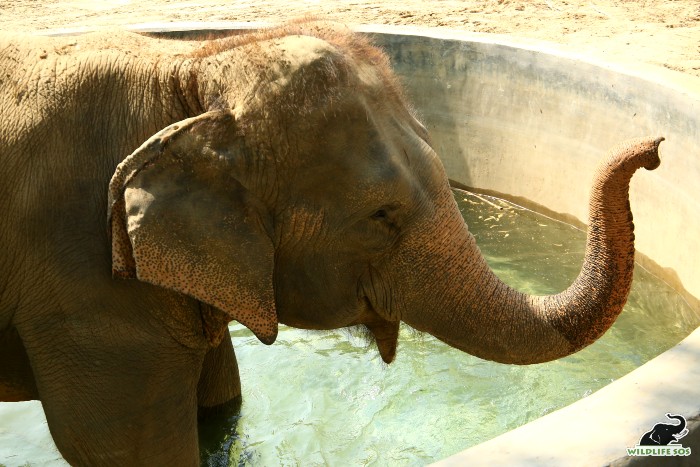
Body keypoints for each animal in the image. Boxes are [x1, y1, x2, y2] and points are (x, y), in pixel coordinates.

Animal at [0, 21, 664, 464]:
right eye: (382, 216)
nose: (655, 148)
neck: (190, 72)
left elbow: (222, 397)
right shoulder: (85, 285)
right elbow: (119, 444)